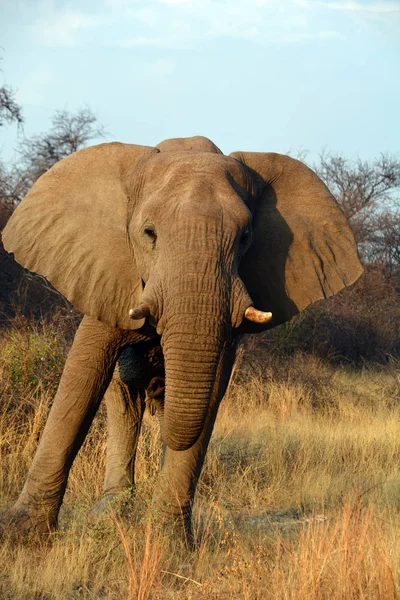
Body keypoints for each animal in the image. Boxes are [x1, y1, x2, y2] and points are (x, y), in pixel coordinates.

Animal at [0, 135, 362, 544]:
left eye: (246, 238)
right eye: (149, 233)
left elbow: (212, 389)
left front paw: (169, 543)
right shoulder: (108, 273)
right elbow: (82, 377)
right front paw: (21, 535)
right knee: (123, 399)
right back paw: (111, 513)